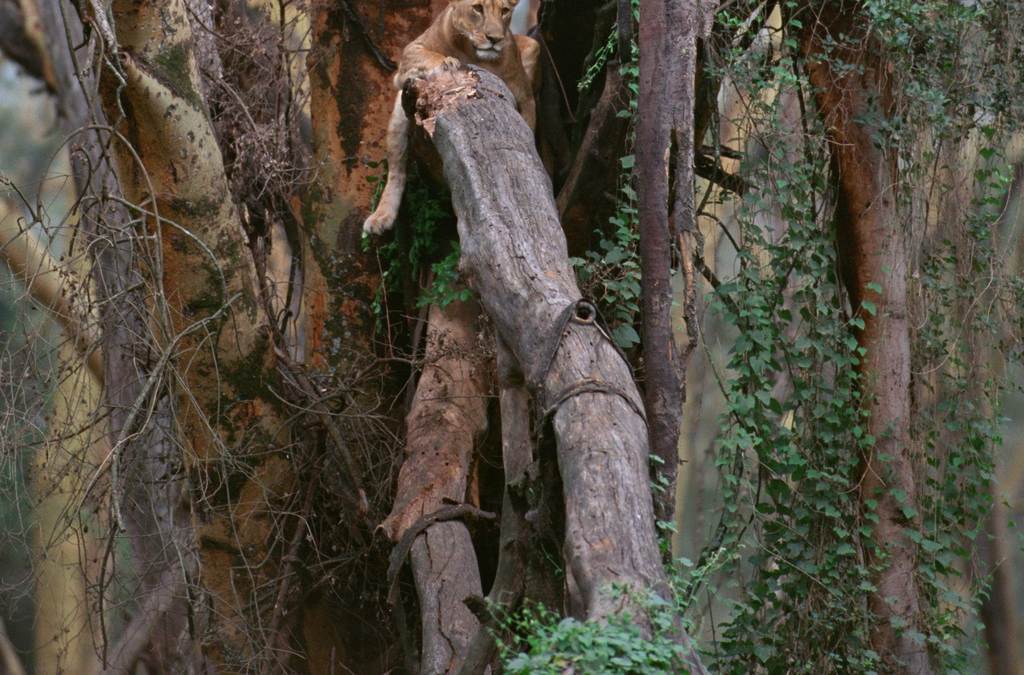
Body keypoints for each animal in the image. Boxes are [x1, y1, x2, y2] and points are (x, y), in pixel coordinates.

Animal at [362, 0, 540, 234]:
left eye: (505, 11)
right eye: (477, 8)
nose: (494, 39)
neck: (475, 56)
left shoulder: (526, 96)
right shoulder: (410, 54)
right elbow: (427, 58)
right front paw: (448, 62)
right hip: (398, 121)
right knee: (396, 169)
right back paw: (381, 216)